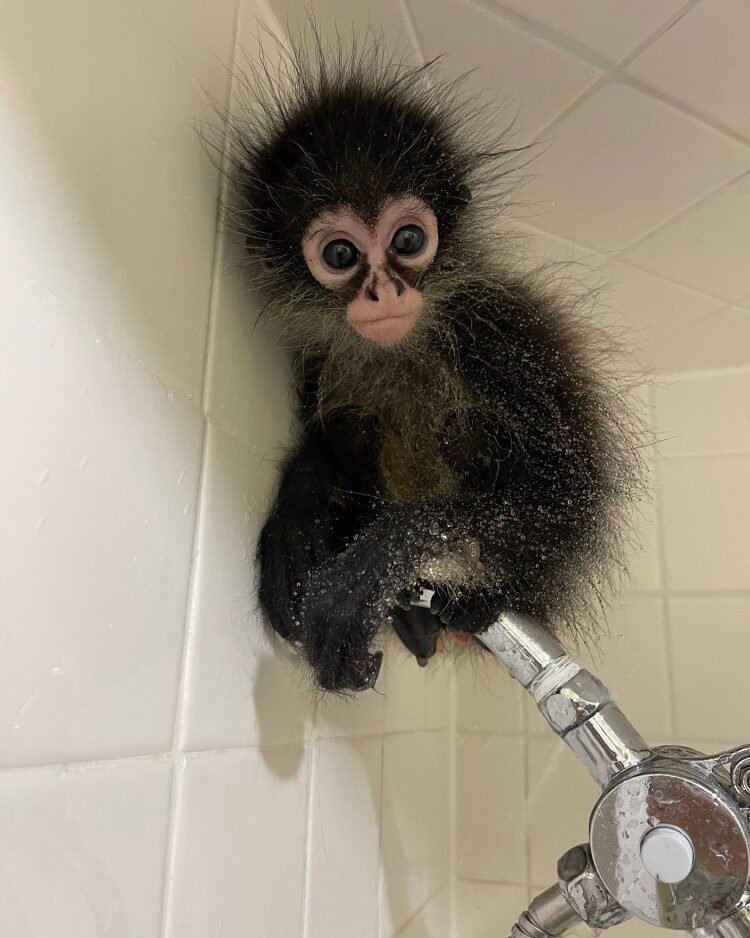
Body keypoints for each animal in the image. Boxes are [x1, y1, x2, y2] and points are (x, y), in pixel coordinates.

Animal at [214, 30, 643, 693]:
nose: (385, 293)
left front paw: (383, 555)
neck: (403, 348)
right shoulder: (321, 357)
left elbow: (570, 495)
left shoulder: (498, 332)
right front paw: (297, 515)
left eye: (409, 241)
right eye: (341, 254)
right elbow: (328, 443)